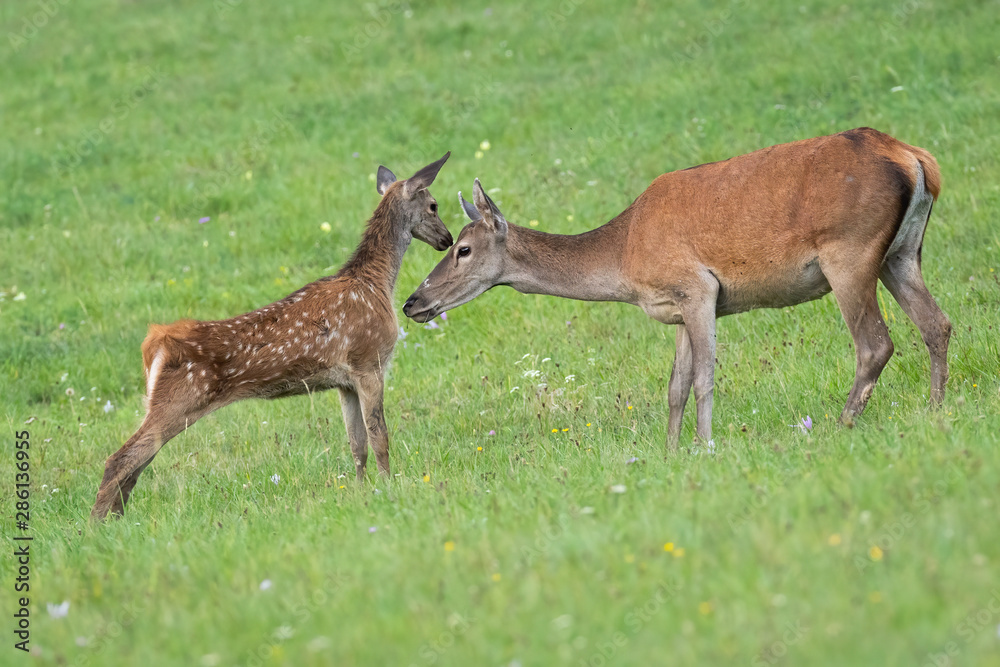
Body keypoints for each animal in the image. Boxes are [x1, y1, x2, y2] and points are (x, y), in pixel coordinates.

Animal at [91, 152, 453, 519]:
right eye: (434, 205)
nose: (448, 239)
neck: (375, 283)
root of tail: (154, 342)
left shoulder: (345, 382)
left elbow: (357, 445)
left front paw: (362, 491)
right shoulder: (370, 361)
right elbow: (380, 438)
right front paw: (388, 487)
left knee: (136, 463)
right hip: (180, 398)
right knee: (121, 459)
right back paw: (97, 525)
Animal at [402, 128, 951, 447]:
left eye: (462, 249)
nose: (413, 302)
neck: (625, 257)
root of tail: (916, 158)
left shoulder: (698, 287)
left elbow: (704, 378)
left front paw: (704, 447)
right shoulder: (678, 306)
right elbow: (675, 386)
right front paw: (669, 453)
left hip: (849, 251)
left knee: (875, 343)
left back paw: (841, 425)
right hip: (902, 252)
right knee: (937, 324)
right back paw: (936, 409)